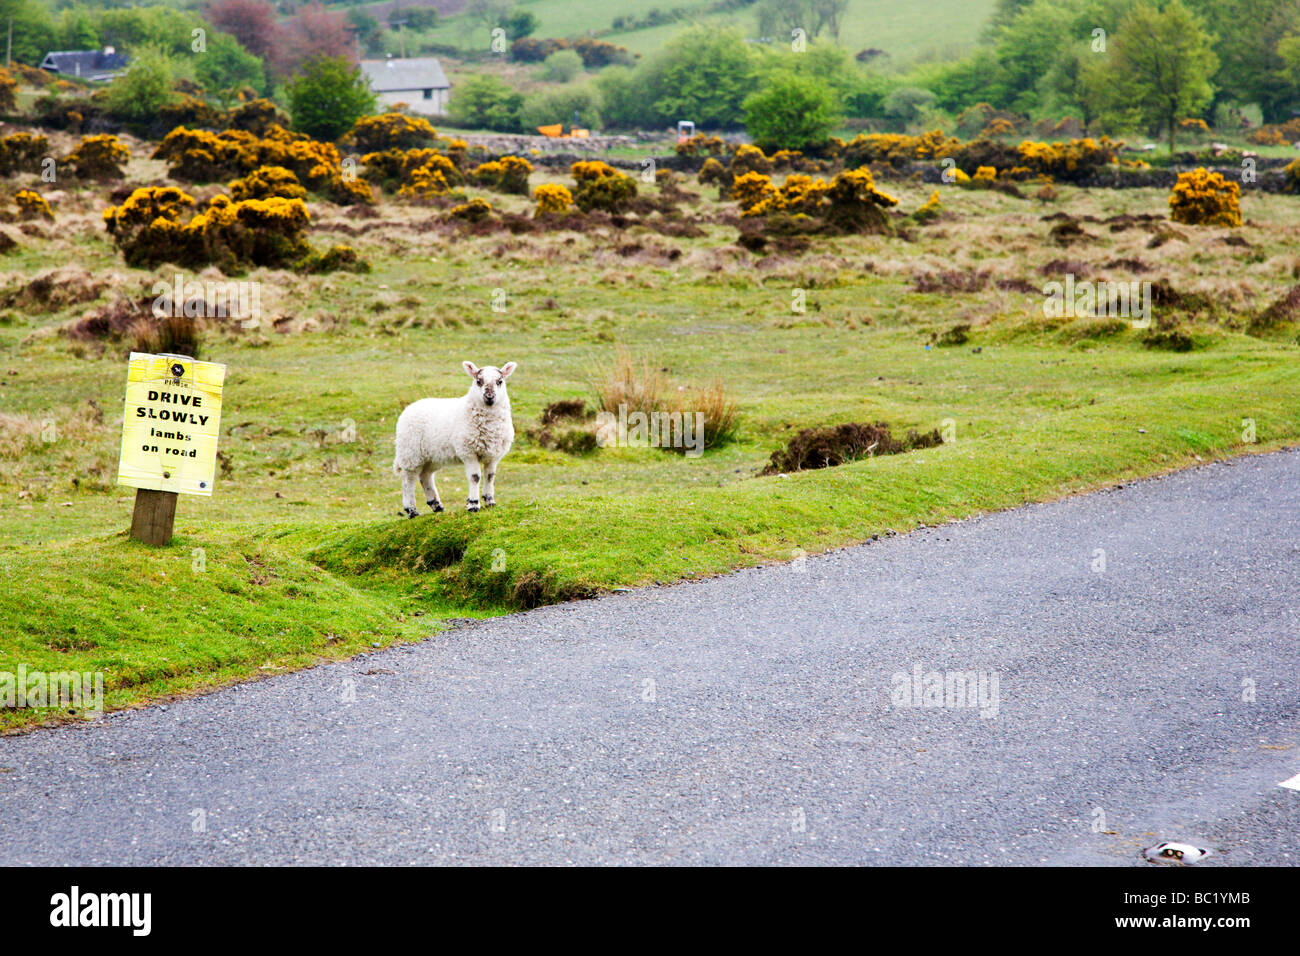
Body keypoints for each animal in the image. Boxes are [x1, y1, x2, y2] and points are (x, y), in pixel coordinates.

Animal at [390, 361, 517, 520]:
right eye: (478, 381)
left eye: (500, 381)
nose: (489, 397)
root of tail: (410, 407)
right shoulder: (468, 451)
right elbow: (475, 477)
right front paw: (473, 504)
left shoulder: (493, 454)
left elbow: (490, 476)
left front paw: (490, 502)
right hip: (410, 453)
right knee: (409, 480)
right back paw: (412, 510)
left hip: (432, 456)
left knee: (425, 476)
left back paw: (436, 505)